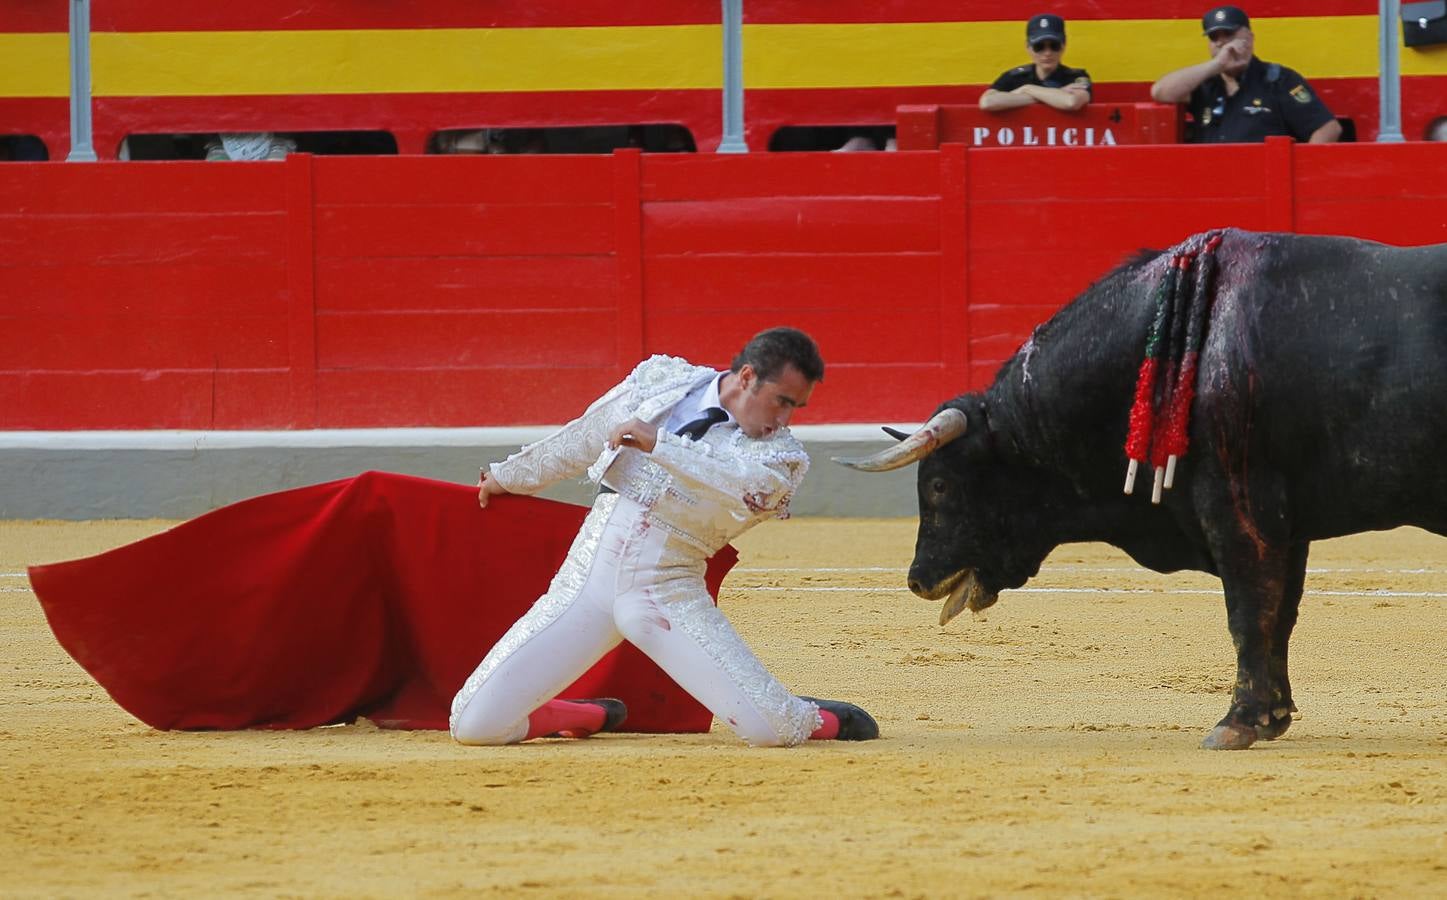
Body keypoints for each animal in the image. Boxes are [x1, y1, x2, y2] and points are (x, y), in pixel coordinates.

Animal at [839, 228, 1447, 752]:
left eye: (940, 485)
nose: (918, 580)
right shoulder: (1284, 529)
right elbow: (1280, 613)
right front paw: (1272, 716)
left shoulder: (1237, 512)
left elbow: (1248, 610)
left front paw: (1237, 723)